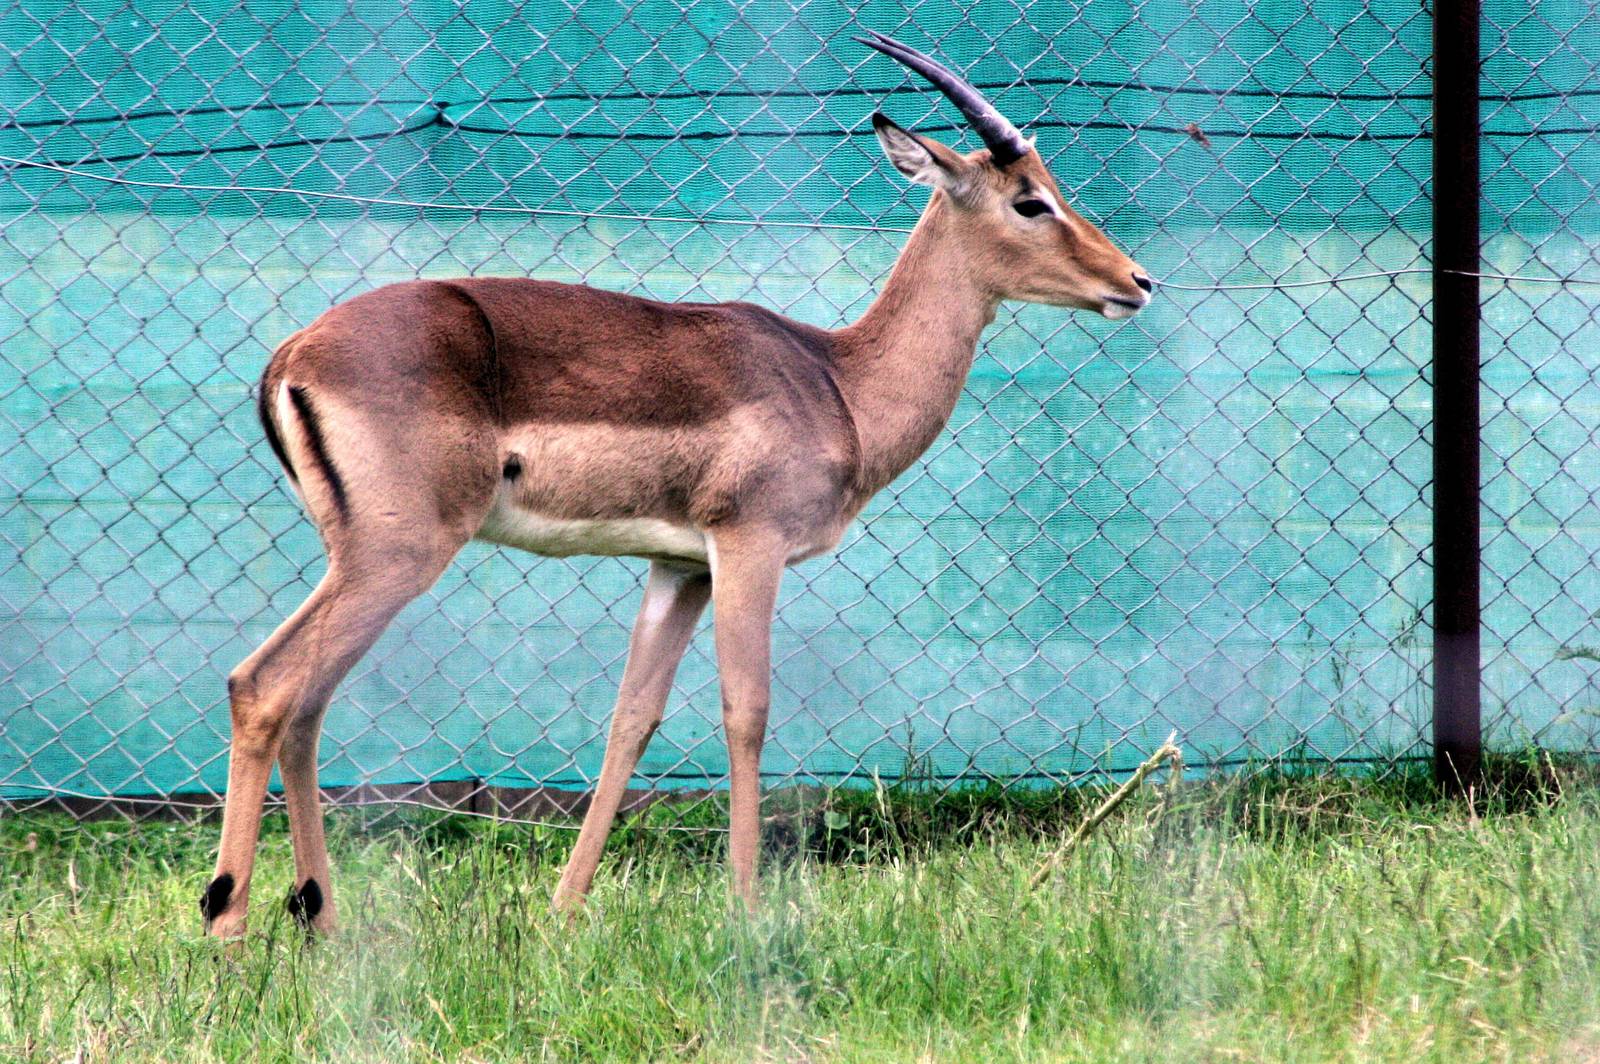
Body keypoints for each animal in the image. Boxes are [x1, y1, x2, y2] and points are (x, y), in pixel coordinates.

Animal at [201, 31, 1152, 938]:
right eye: (1030, 200)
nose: (1137, 282)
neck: (839, 383)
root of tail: (293, 356)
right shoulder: (748, 547)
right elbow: (746, 710)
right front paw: (746, 908)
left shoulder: (679, 566)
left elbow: (633, 719)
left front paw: (565, 910)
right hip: (398, 552)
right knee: (263, 685)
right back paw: (229, 927)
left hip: (367, 558)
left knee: (307, 702)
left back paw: (319, 920)